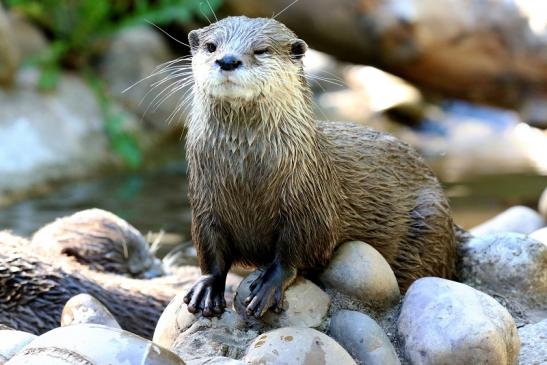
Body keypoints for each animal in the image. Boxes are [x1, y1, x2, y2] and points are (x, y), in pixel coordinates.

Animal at [185, 16, 462, 318]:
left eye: (261, 50)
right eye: (212, 46)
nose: (227, 60)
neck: (245, 177)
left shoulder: (309, 202)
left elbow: (300, 248)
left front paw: (269, 285)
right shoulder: (204, 203)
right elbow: (210, 250)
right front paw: (207, 287)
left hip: (429, 223)